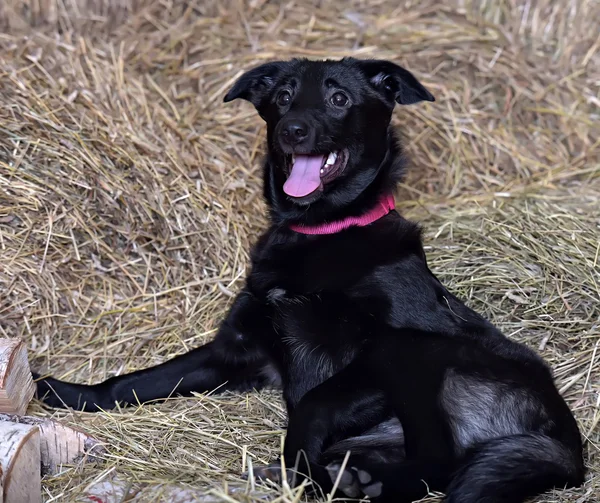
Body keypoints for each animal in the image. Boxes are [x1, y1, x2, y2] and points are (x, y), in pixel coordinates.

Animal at [35, 57, 584, 502]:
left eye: (339, 99)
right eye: (282, 97)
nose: (293, 130)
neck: (321, 232)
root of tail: (566, 443)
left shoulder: (375, 356)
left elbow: (311, 407)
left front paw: (299, 465)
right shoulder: (234, 352)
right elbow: (131, 382)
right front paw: (63, 392)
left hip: (416, 354)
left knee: (438, 461)